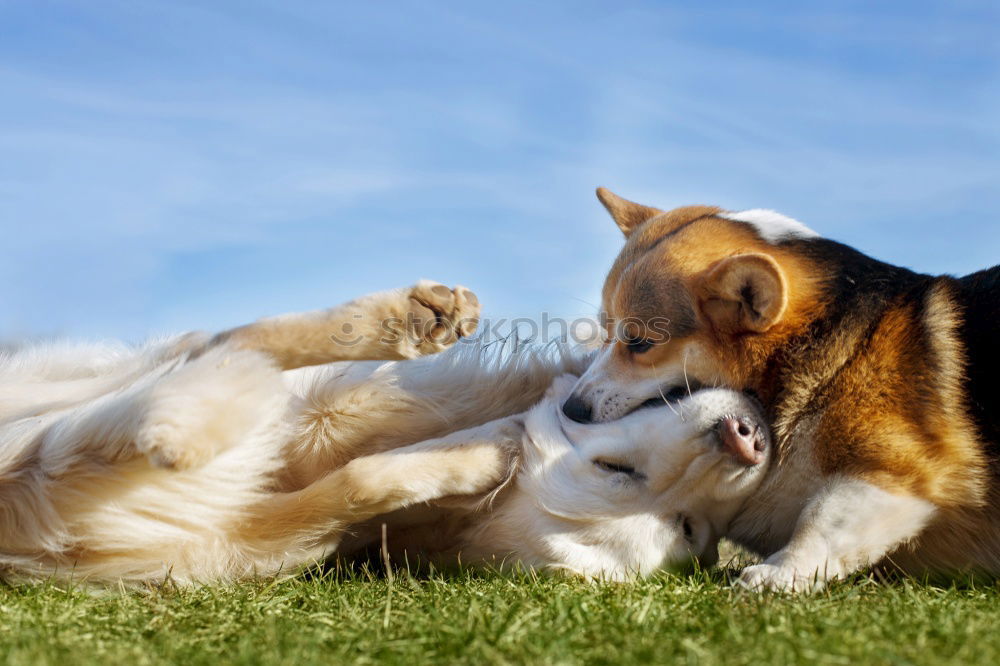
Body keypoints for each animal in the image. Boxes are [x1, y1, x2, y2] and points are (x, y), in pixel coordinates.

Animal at [568, 187, 996, 588]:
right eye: (604, 329)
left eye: (640, 343)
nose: (571, 409)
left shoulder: (898, 467)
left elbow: (822, 520)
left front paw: (777, 574)